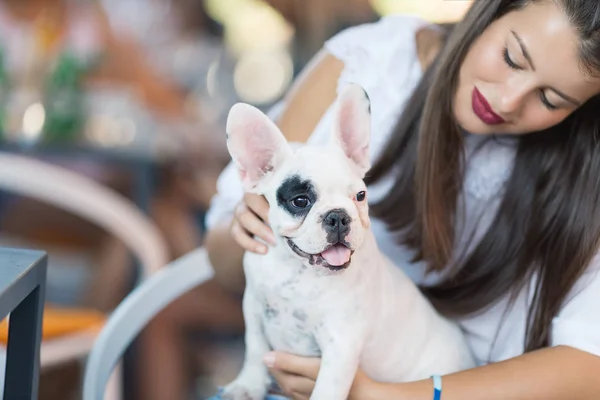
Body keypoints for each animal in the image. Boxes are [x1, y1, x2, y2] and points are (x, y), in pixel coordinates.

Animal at [219, 84, 474, 400]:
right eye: (300, 201)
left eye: (360, 196)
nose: (338, 216)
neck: (299, 272)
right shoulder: (253, 306)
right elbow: (254, 347)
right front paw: (247, 384)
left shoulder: (340, 345)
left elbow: (326, 390)